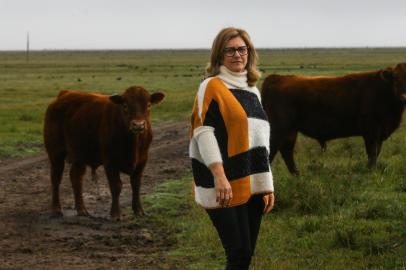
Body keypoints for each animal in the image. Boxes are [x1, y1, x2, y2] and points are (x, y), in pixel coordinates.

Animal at [44, 86, 165, 219]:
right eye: (125, 105)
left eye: (148, 105)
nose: (138, 125)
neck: (133, 144)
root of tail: (64, 94)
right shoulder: (110, 162)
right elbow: (116, 186)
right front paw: (115, 214)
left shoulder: (142, 161)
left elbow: (136, 184)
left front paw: (139, 211)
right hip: (56, 152)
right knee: (56, 178)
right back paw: (56, 209)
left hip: (79, 155)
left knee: (76, 178)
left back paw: (82, 210)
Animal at [260, 62, 406, 175]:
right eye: (395, 80)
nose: (403, 97)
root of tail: (276, 78)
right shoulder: (371, 131)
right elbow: (372, 153)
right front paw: (370, 171)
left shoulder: (379, 133)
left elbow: (376, 152)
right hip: (278, 130)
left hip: (290, 131)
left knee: (287, 151)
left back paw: (297, 175)